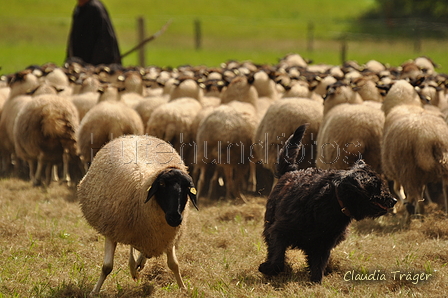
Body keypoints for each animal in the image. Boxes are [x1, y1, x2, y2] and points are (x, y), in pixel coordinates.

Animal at [78, 135, 199, 296]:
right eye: (161, 185)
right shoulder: (111, 230)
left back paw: (139, 263)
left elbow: (174, 264)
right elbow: (107, 267)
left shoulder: (166, 236)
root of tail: (137, 135)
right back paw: (134, 267)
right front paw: (94, 291)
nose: (175, 218)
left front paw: (183, 288)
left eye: (187, 188)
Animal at [258, 124, 398, 282]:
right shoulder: (279, 230)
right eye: (378, 185)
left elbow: (318, 265)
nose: (394, 200)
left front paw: (315, 282)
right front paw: (268, 268)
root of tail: (290, 172)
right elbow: (277, 258)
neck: (332, 200)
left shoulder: (324, 242)